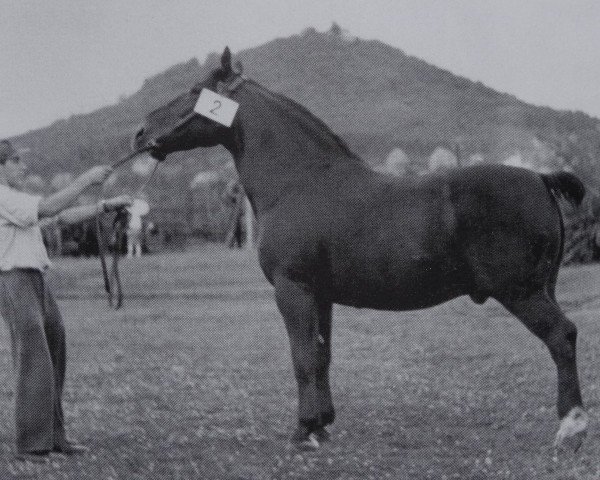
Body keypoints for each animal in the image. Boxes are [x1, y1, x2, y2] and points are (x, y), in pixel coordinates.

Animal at [134, 47, 588, 450]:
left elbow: (302, 356)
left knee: (562, 336)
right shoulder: (320, 295)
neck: (299, 181)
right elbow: (321, 355)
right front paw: (322, 425)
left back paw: (571, 428)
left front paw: (303, 431)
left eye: (196, 90)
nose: (140, 133)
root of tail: (541, 178)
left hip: (522, 293)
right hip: (542, 288)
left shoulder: (292, 289)